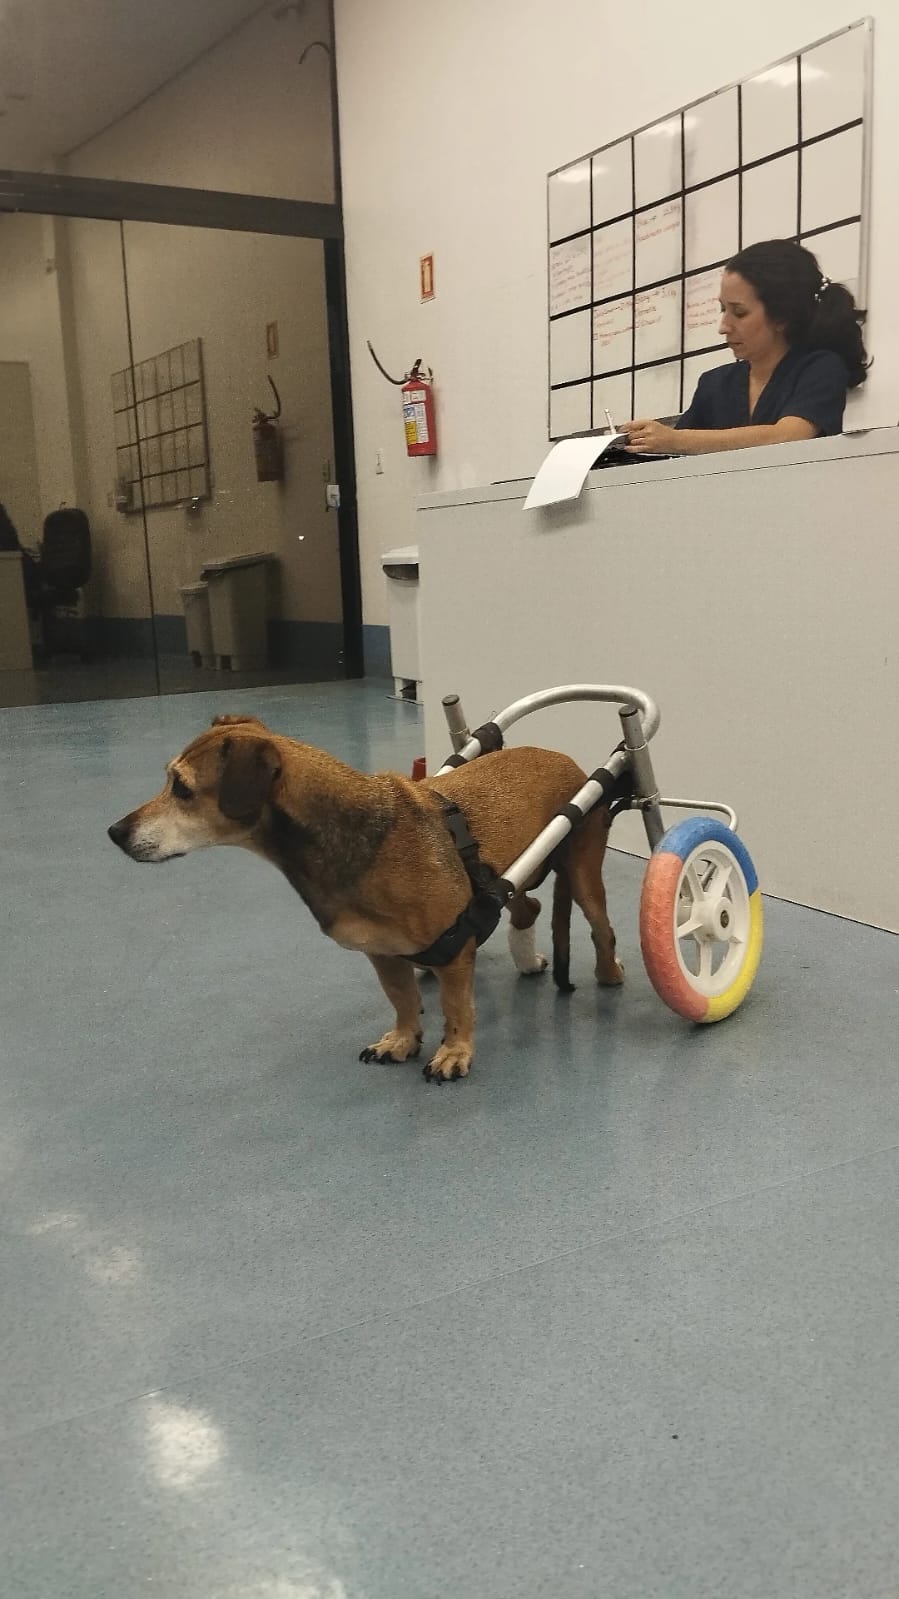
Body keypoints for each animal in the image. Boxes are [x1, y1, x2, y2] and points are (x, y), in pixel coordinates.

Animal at [106, 716, 623, 1080]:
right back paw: (527, 960)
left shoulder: (455, 950)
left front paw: (453, 1052)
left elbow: (456, 1007)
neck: (356, 836)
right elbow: (402, 998)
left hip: (582, 876)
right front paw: (403, 1039)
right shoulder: (382, 953)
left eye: (182, 788)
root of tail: (565, 758)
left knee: (602, 930)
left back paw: (609, 974)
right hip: (506, 877)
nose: (114, 833)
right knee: (527, 906)